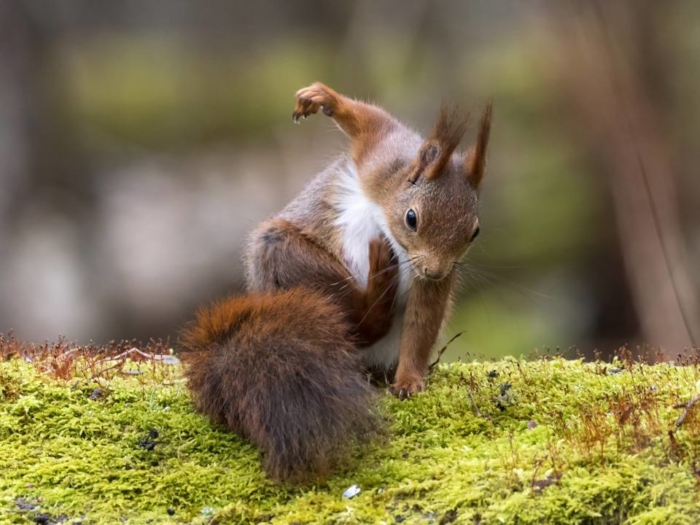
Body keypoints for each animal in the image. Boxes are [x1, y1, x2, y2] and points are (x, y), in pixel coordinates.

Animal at [180, 83, 492, 484]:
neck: (389, 210)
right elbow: (369, 120)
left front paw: (409, 380)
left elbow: (422, 324)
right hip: (286, 256)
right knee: (358, 321)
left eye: (474, 231)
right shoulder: (380, 156)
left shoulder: (431, 281)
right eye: (412, 218)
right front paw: (322, 99)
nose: (436, 271)